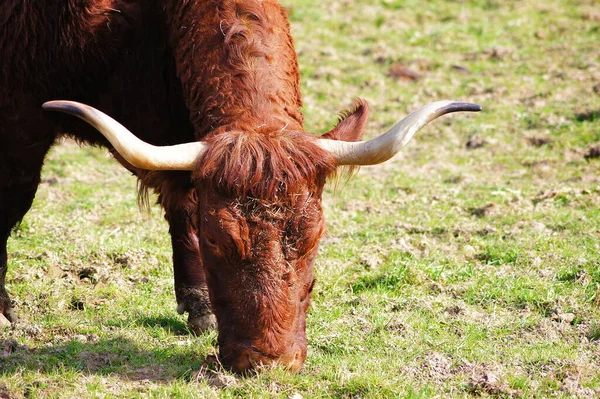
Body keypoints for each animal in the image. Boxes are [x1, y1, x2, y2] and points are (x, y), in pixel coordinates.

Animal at [0, 0, 478, 376]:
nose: (267, 362)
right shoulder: (19, 122)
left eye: (314, 237)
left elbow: (182, 208)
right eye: (217, 238)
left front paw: (200, 310)